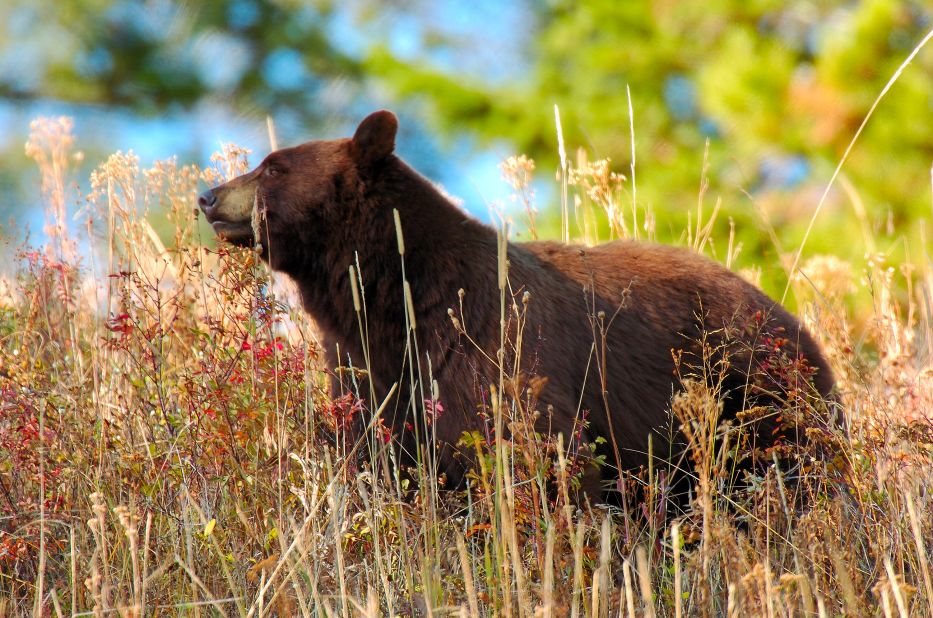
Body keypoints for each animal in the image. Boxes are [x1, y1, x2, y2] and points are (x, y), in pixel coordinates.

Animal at [198, 109, 836, 500]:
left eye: (272, 168)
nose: (208, 196)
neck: (399, 298)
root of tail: (789, 316)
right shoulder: (366, 372)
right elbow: (375, 456)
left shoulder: (490, 343)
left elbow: (540, 454)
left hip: (757, 396)